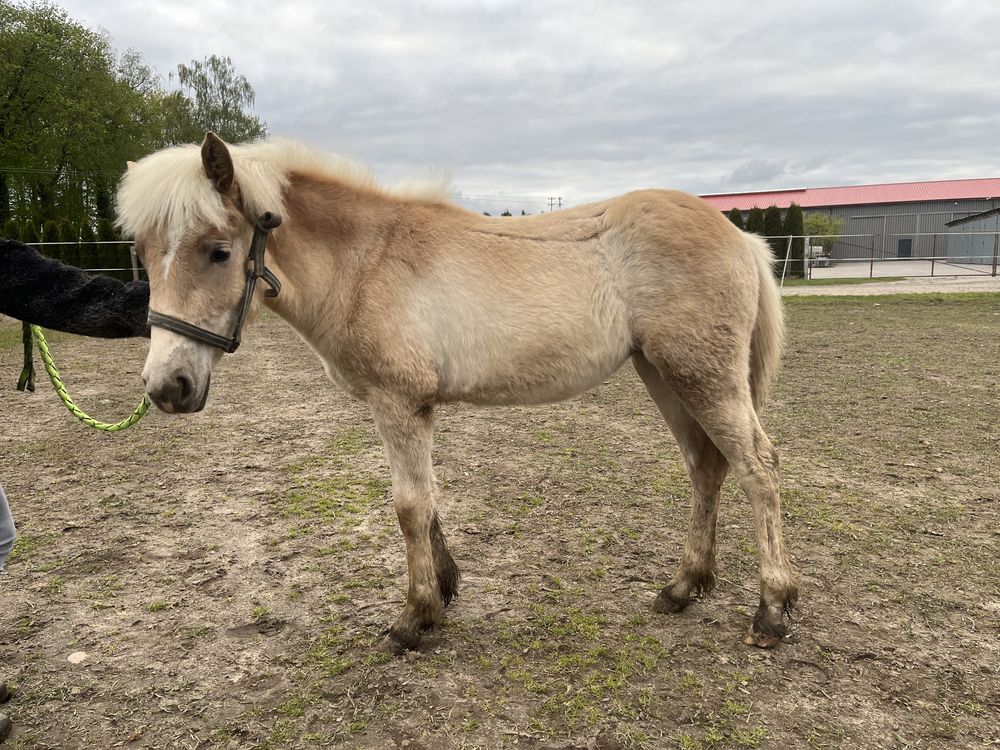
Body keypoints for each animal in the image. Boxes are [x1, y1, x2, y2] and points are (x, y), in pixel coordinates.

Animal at [117, 134, 800, 652]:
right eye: (143, 254)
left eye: (218, 251)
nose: (167, 387)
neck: (366, 261)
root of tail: (740, 238)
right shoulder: (409, 407)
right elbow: (427, 502)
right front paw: (443, 591)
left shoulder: (399, 402)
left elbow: (409, 506)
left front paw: (413, 620)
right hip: (665, 376)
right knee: (706, 466)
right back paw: (684, 587)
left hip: (702, 376)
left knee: (757, 469)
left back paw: (771, 610)